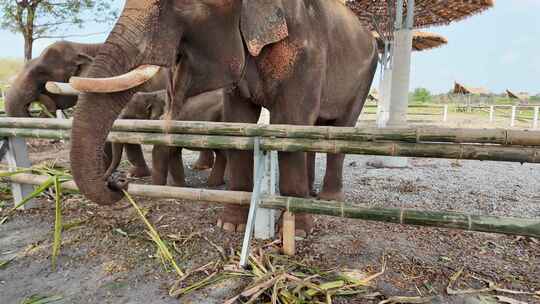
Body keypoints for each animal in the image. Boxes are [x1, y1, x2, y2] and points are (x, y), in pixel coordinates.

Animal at [67, 0, 378, 238]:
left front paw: (297, 232)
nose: (119, 182)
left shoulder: (307, 54)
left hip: (365, 78)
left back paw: (329, 199)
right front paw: (229, 225)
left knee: (340, 128)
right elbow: (240, 121)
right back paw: (311, 194)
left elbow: (289, 122)